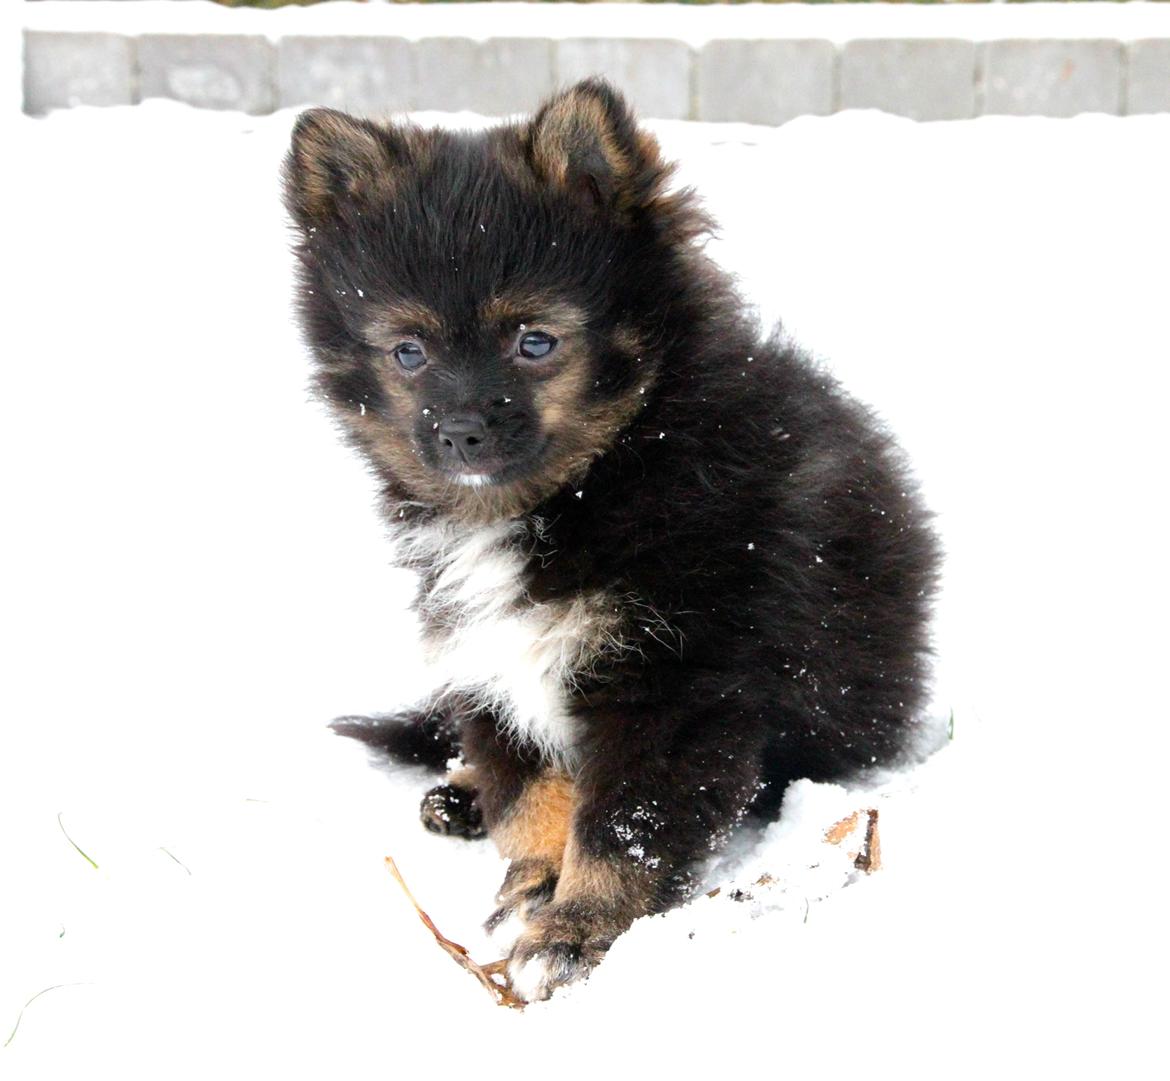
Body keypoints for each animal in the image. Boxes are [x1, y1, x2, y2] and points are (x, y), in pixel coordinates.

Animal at [283, 80, 940, 1001]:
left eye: (535, 341)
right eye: (408, 351)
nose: (458, 431)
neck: (600, 475)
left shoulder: (674, 676)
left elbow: (623, 823)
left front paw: (576, 928)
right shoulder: (488, 658)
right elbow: (528, 795)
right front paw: (531, 876)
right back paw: (456, 793)